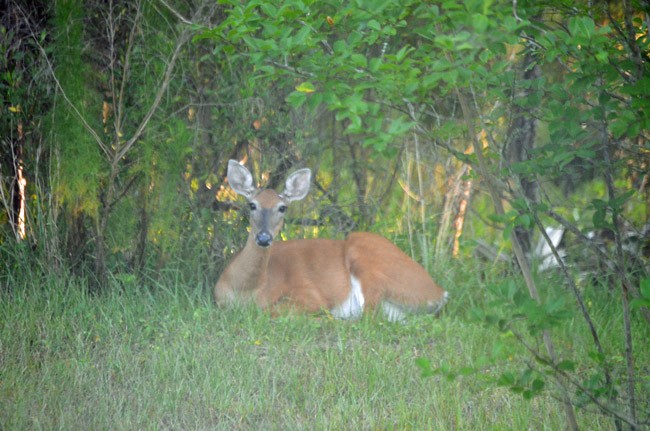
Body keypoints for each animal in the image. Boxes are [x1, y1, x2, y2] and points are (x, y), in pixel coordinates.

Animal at [213, 160, 446, 322]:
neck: (246, 290)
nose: (263, 238)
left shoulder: (308, 294)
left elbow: (272, 311)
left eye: (282, 208)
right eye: (252, 205)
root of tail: (439, 292)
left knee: (369, 317)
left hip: (367, 259)